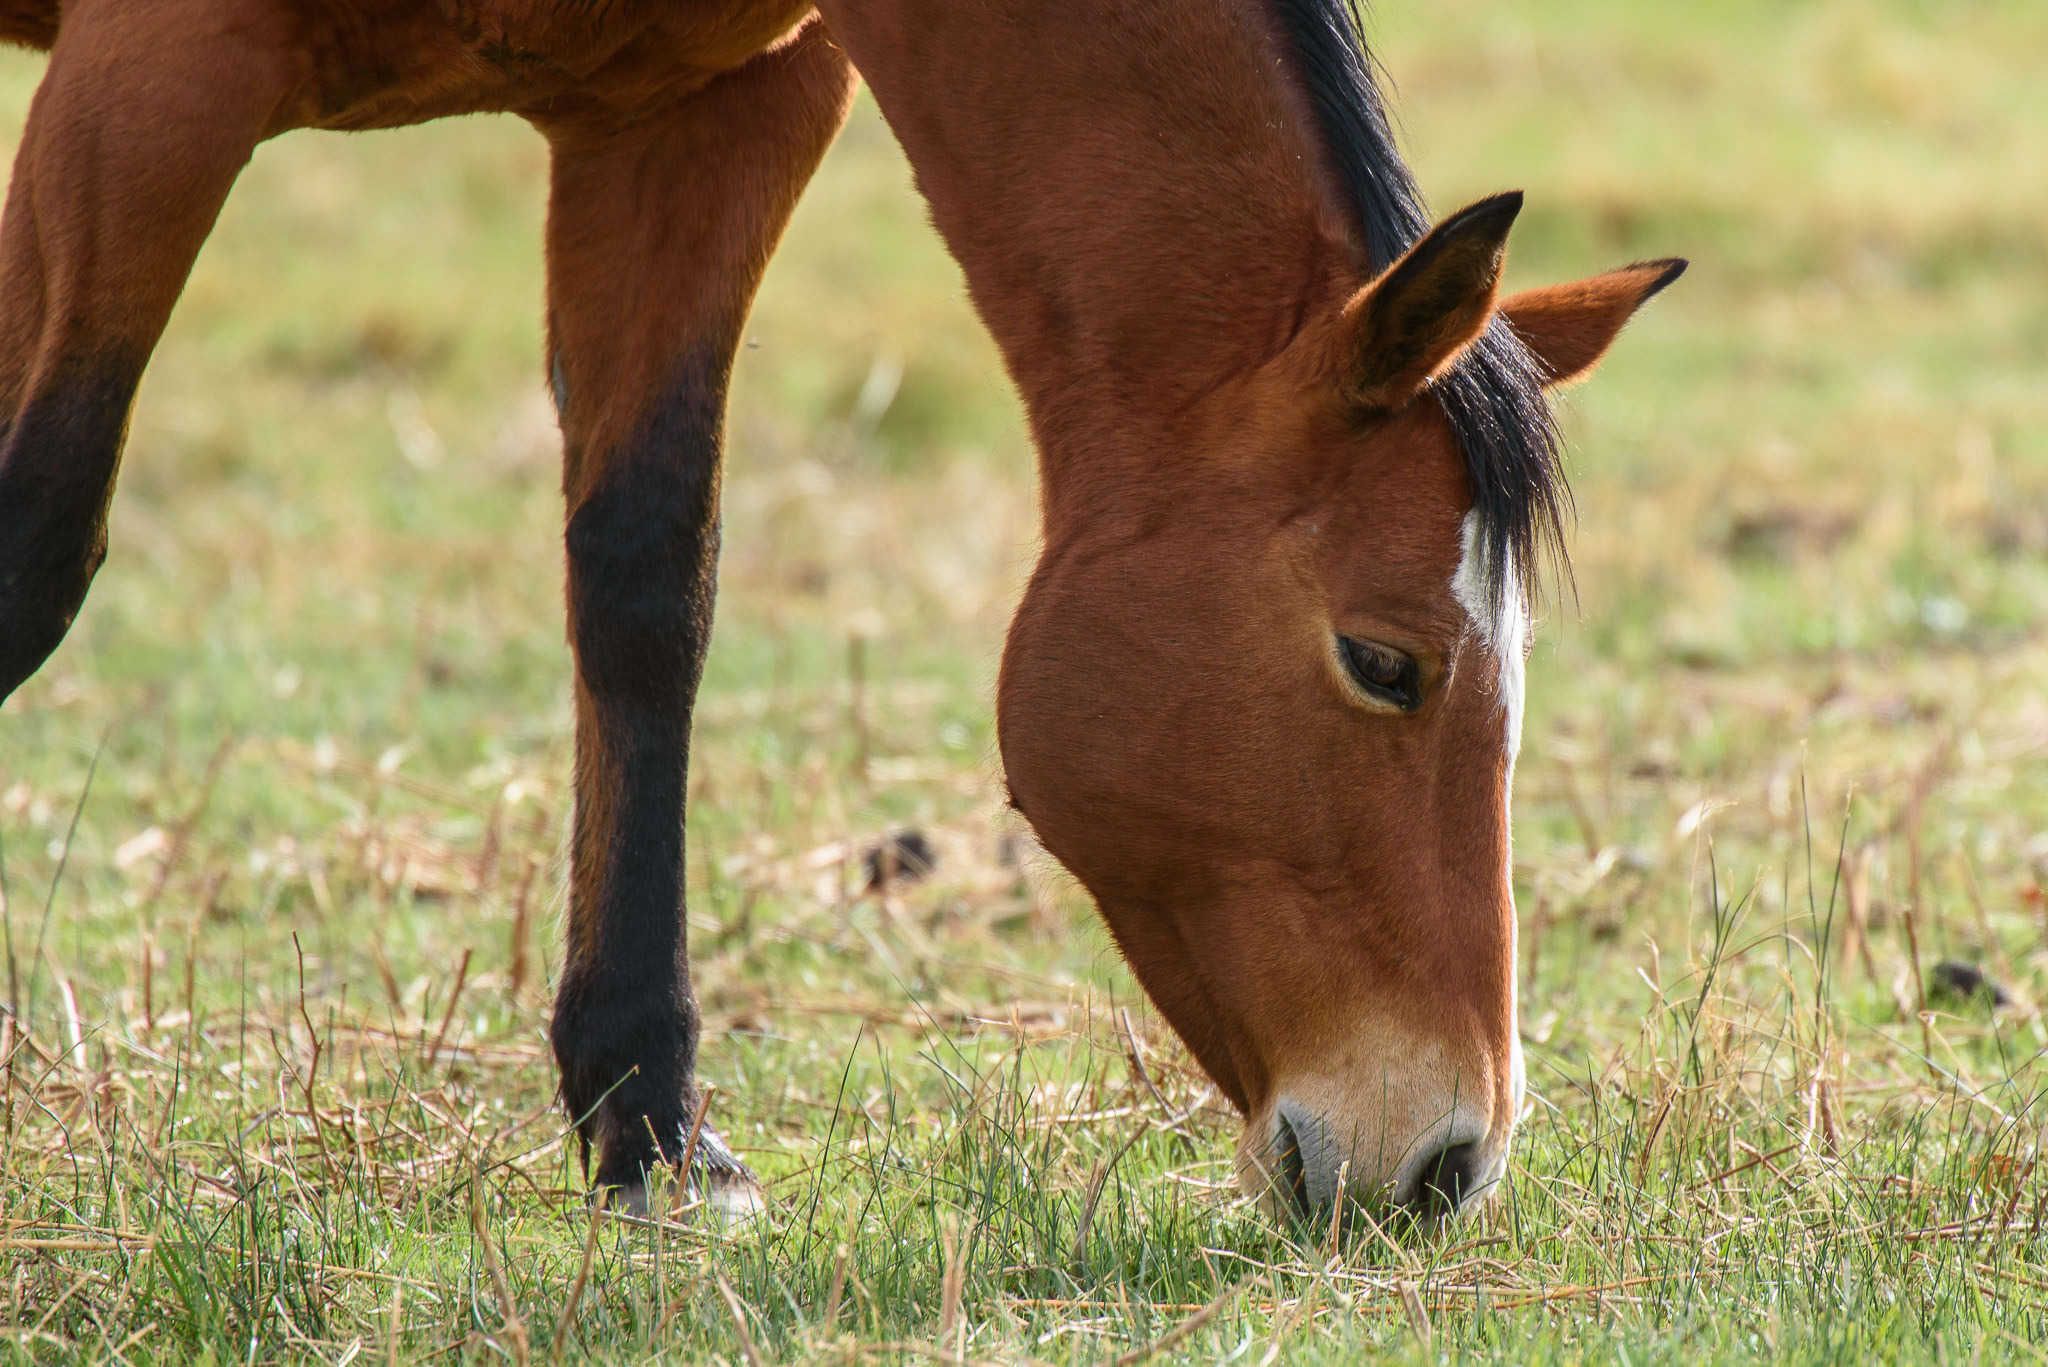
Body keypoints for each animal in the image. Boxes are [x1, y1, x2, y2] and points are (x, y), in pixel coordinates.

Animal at [0, 0, 1679, 1221]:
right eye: (1383, 661)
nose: (1449, 1159)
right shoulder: (150, 81)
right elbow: (33, 543)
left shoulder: (704, 112)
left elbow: (646, 584)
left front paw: (653, 1128)